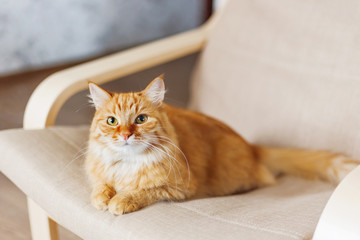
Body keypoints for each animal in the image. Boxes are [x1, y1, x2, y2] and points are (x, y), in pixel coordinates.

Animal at [86, 76, 358, 215]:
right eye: (112, 121)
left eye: (141, 119)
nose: (125, 135)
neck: (128, 163)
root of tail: (252, 147)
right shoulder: (98, 172)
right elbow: (101, 185)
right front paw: (101, 198)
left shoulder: (179, 188)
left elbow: (142, 191)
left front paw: (120, 201)